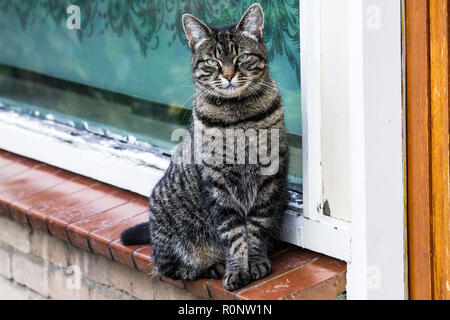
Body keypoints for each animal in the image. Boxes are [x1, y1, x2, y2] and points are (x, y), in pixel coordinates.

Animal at [119, 3, 288, 292]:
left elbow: (256, 226)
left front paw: (255, 262)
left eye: (242, 57)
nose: (229, 75)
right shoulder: (217, 184)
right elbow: (233, 233)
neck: (238, 118)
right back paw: (213, 266)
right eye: (212, 62)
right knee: (168, 267)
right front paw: (236, 269)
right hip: (168, 232)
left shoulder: (268, 178)